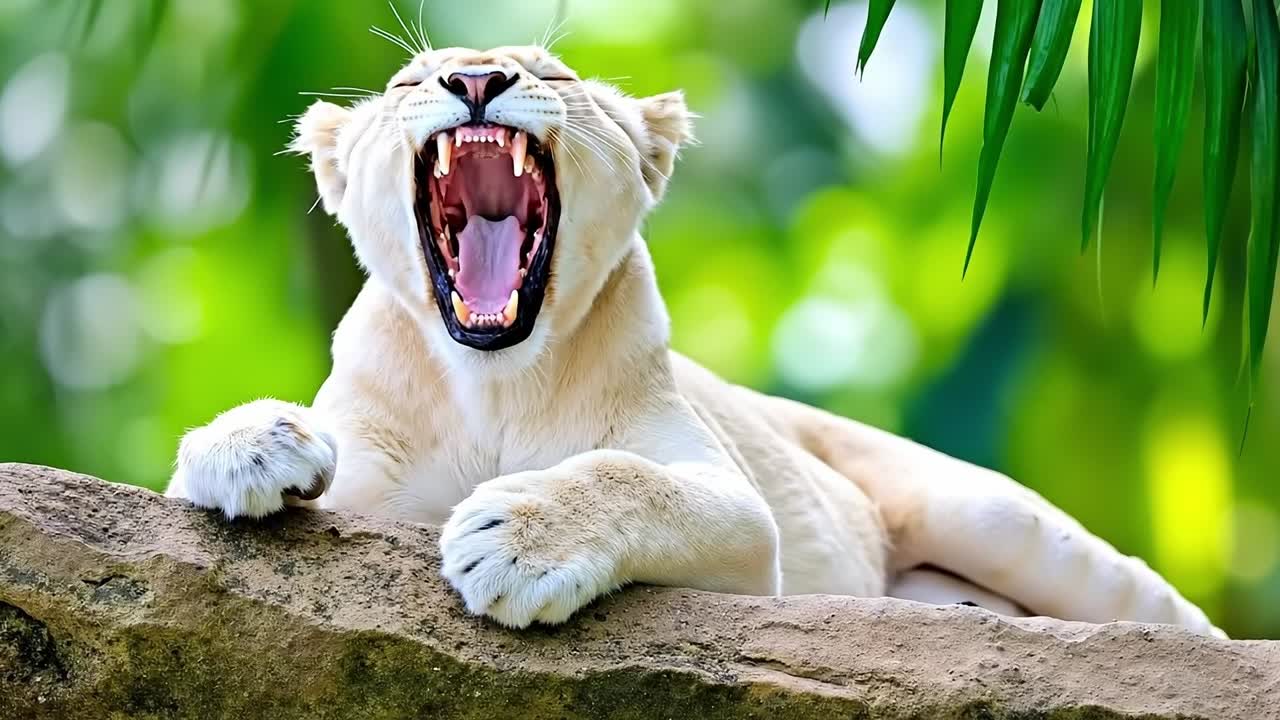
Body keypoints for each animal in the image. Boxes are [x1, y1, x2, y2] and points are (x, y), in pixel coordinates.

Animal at [166, 45, 1219, 635]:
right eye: (408, 82)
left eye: (550, 73)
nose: (475, 78)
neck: (494, 380)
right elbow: (195, 483)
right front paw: (250, 445)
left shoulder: (743, 518)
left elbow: (628, 476)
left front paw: (518, 541)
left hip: (993, 515)